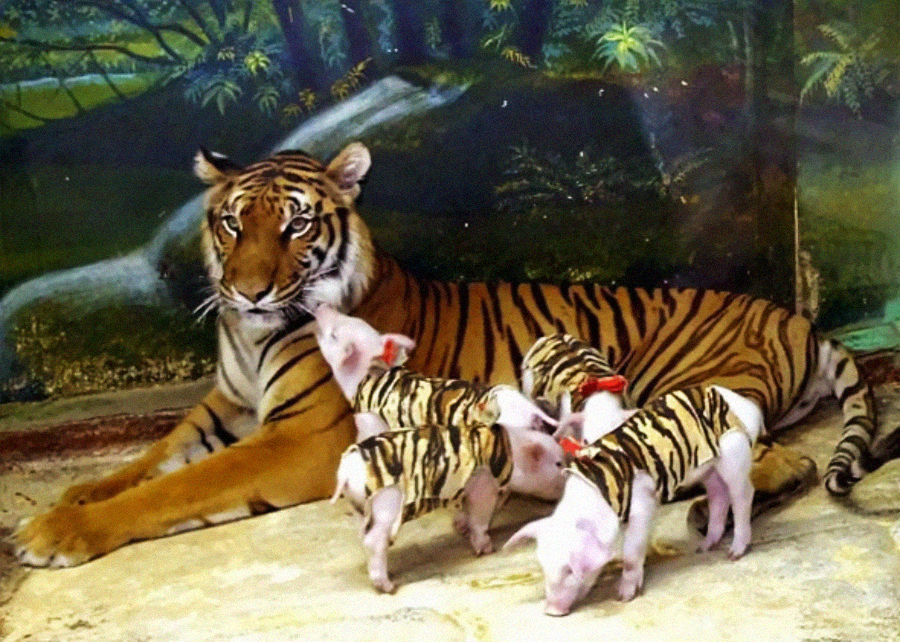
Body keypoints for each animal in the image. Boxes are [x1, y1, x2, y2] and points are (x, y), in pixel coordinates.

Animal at [15, 141, 895, 568]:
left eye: (296, 224)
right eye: (234, 223)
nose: (249, 290)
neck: (250, 334)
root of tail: (795, 317)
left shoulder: (301, 439)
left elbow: (176, 489)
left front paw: (56, 534)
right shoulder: (223, 409)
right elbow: (140, 464)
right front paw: (66, 500)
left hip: (673, 390)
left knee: (778, 460)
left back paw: (700, 508)